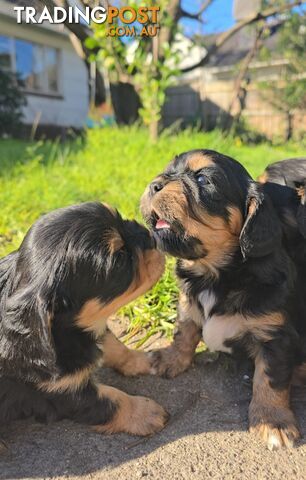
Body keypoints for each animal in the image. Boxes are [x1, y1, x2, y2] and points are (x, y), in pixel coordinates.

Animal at [0, 202, 167, 436]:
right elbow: (113, 400)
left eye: (123, 220)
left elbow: (115, 346)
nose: (151, 235)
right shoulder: (63, 393)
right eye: (120, 259)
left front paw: (144, 359)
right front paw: (145, 412)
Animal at [141, 149, 306, 450]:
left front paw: (272, 422)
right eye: (168, 172)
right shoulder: (187, 301)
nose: (154, 184)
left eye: (203, 179)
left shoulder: (275, 335)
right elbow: (184, 331)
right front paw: (170, 359)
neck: (213, 273)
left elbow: (269, 378)